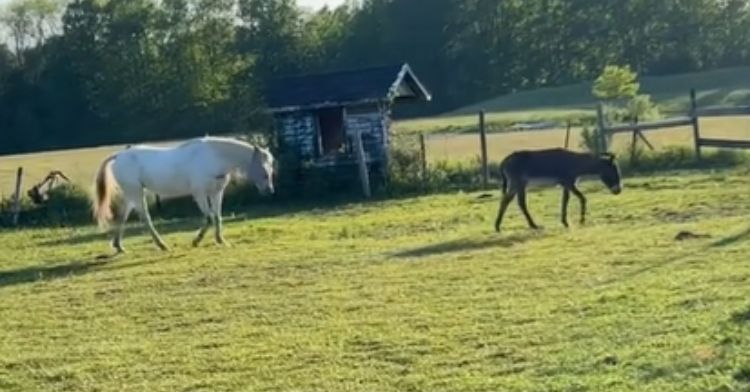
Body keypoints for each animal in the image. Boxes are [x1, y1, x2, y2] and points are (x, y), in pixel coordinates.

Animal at [92, 136, 276, 251]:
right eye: (263, 170)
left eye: (271, 168)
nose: (269, 191)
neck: (213, 157)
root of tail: (119, 155)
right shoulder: (200, 193)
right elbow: (209, 218)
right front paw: (196, 241)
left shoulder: (216, 193)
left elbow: (217, 217)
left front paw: (220, 241)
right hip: (136, 193)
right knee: (145, 219)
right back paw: (161, 245)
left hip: (130, 194)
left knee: (122, 216)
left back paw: (118, 246)